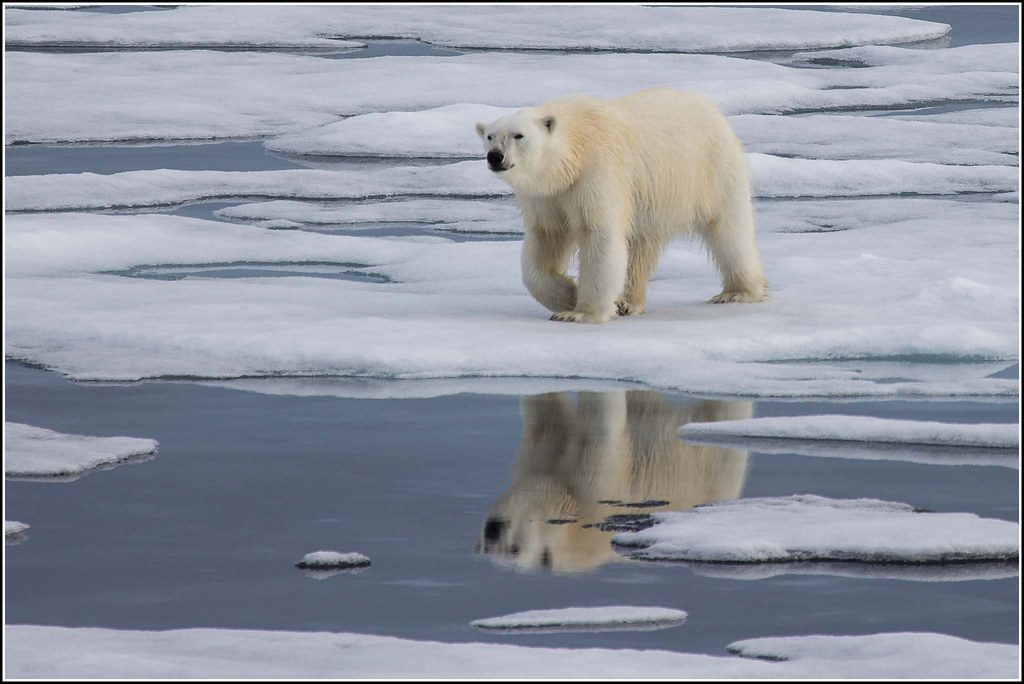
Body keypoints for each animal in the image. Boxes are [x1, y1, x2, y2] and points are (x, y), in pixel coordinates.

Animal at [473, 391, 752, 573]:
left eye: (515, 549)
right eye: (487, 547)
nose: (493, 531)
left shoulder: (594, 489)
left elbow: (603, 424)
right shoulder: (541, 455)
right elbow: (546, 417)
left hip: (714, 466)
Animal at [475, 88, 766, 324]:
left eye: (519, 135)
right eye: (490, 136)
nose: (495, 156)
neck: (574, 153)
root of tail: (714, 111)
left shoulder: (596, 173)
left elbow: (599, 234)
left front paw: (580, 313)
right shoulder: (547, 195)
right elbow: (546, 239)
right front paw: (569, 295)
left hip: (711, 171)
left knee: (729, 230)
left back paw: (737, 292)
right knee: (640, 245)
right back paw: (628, 303)